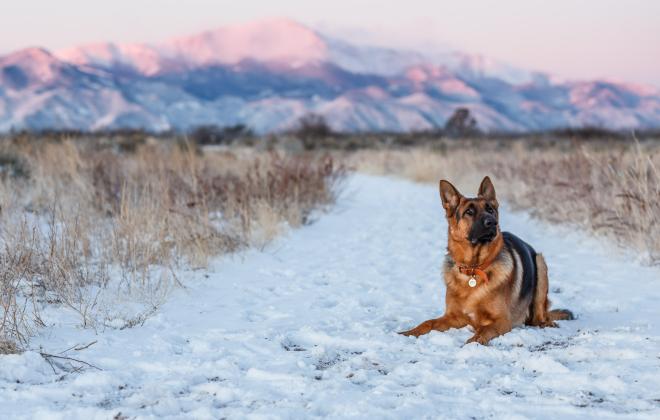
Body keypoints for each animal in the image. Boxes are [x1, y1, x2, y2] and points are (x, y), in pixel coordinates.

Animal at [398, 177, 572, 344]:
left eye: (490, 209)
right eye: (469, 212)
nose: (492, 222)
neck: (473, 269)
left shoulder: (502, 321)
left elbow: (484, 330)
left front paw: (473, 342)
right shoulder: (453, 317)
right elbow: (428, 322)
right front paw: (408, 332)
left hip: (540, 263)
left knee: (539, 318)